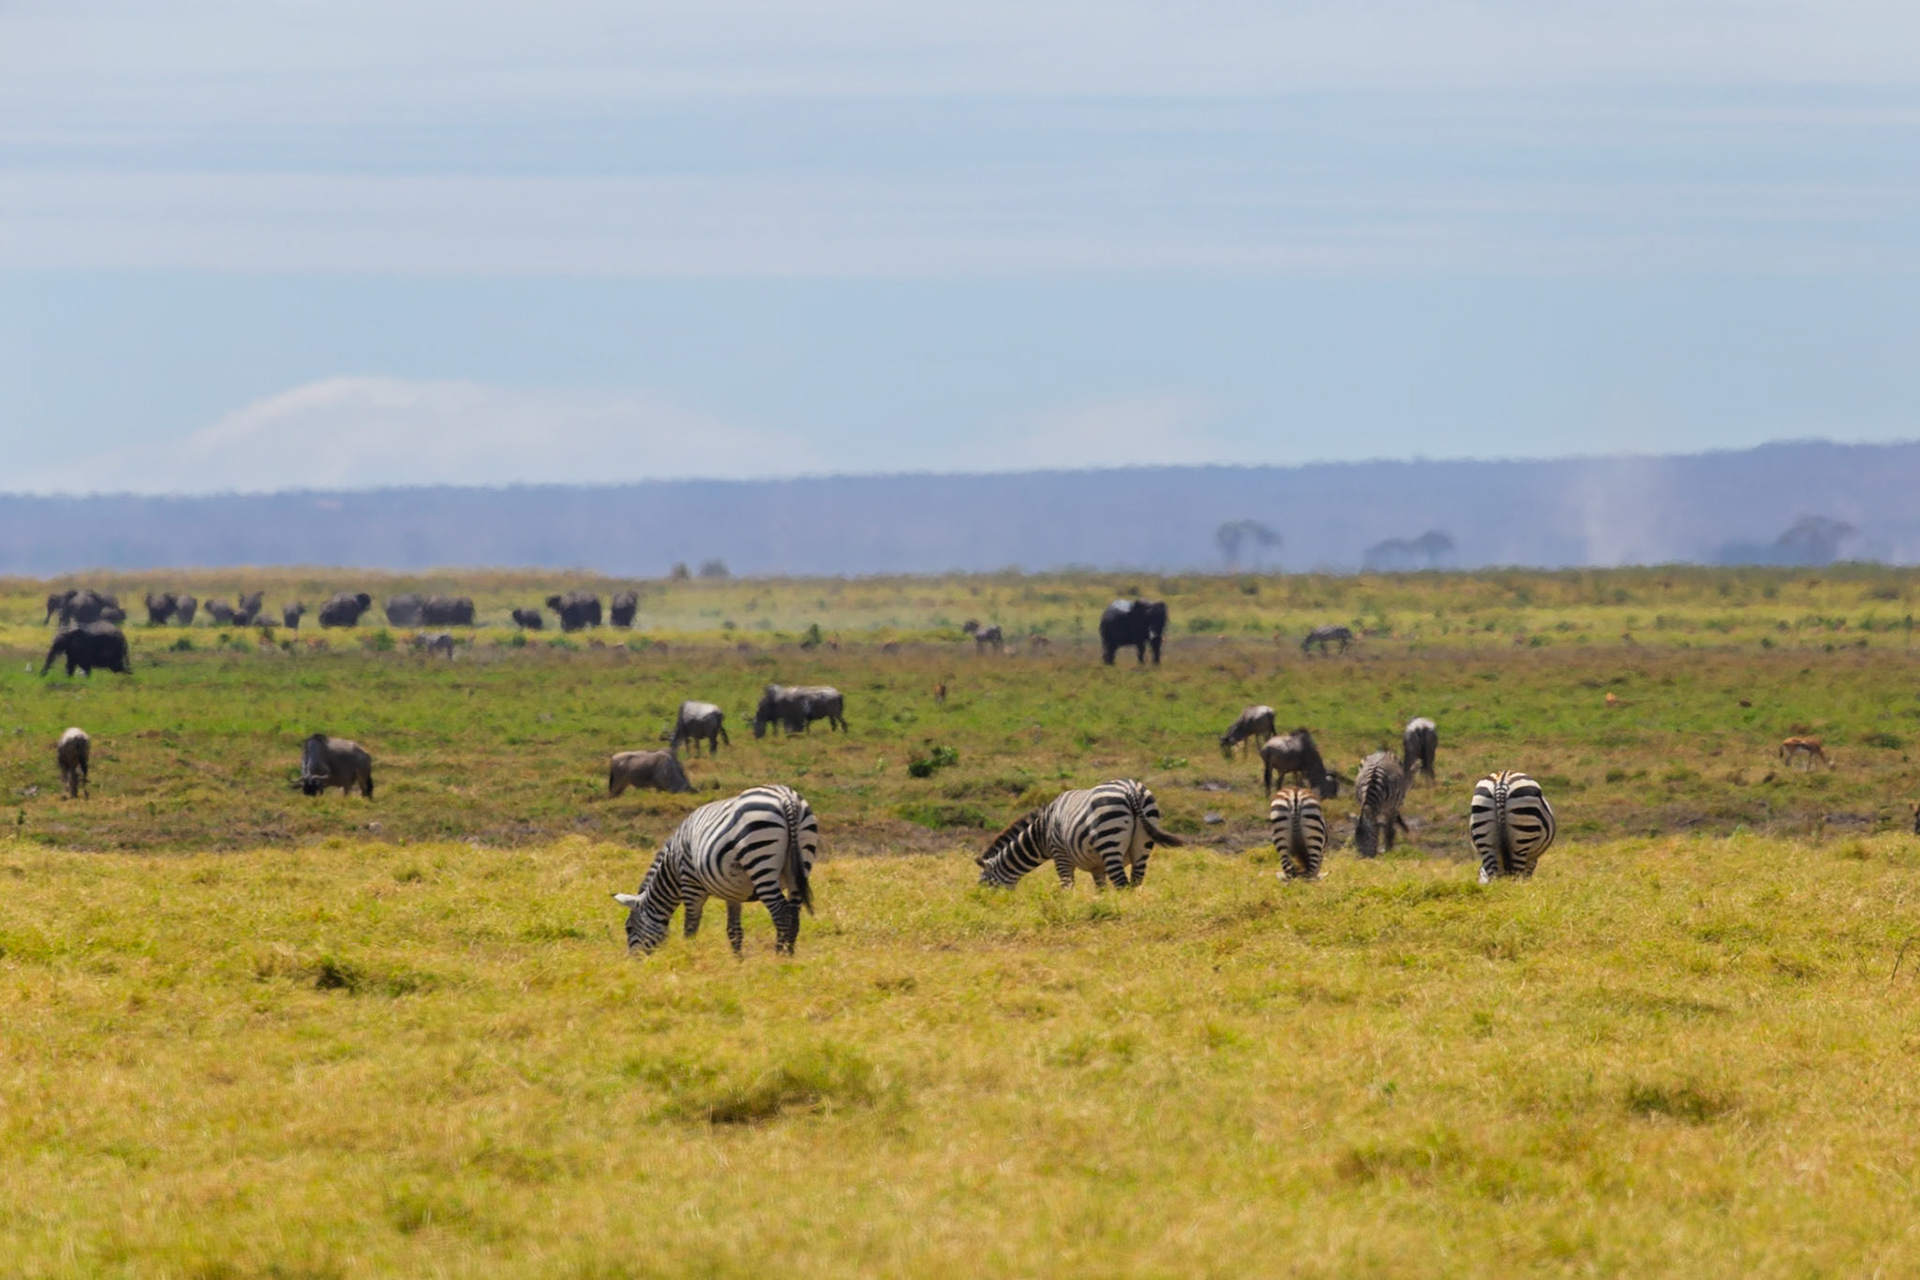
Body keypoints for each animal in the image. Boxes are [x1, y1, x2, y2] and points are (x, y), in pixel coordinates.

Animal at [612, 784, 818, 955]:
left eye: (628, 928)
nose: (633, 961)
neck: (672, 869)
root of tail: (786, 798)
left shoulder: (691, 886)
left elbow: (690, 927)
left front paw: (687, 954)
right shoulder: (733, 892)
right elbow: (734, 931)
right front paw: (738, 961)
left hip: (760, 859)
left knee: (781, 912)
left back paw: (778, 956)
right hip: (800, 862)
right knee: (794, 914)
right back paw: (789, 956)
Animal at [976, 780, 1183, 890]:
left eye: (984, 883)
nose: (985, 903)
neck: (1042, 834)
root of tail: (1130, 788)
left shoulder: (1060, 856)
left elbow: (1066, 887)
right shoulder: (1097, 867)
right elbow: (1101, 890)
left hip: (1109, 838)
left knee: (1122, 884)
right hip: (1143, 842)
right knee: (1135, 882)